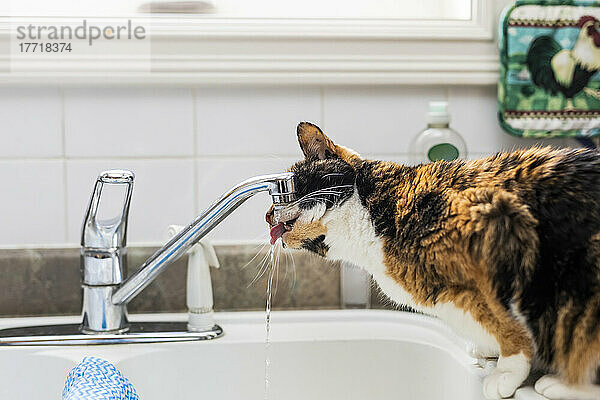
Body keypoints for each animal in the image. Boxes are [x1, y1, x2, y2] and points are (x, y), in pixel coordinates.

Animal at [264, 122, 600, 400]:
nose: (266, 215)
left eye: (287, 188)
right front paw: (488, 349)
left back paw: (561, 384)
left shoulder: (496, 220)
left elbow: (505, 320)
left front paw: (507, 371)